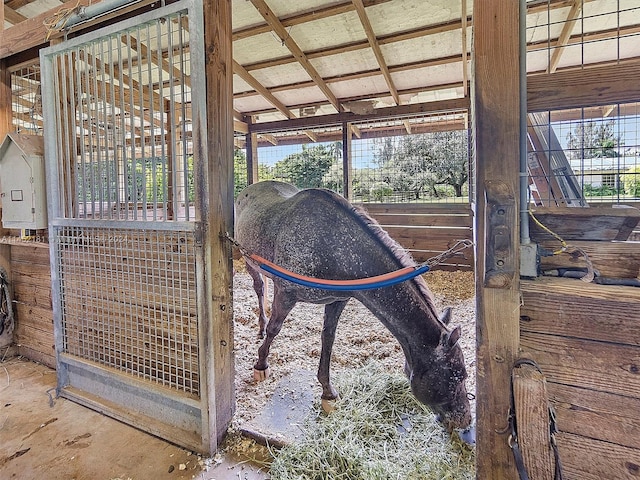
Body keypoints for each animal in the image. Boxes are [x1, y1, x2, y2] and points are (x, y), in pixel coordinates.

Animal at [235, 180, 476, 438]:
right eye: (456, 375)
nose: (464, 421)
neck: (334, 246)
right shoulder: (286, 293)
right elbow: (275, 329)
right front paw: (261, 364)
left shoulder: (336, 301)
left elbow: (328, 340)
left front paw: (327, 392)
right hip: (249, 262)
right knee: (259, 288)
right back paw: (260, 326)